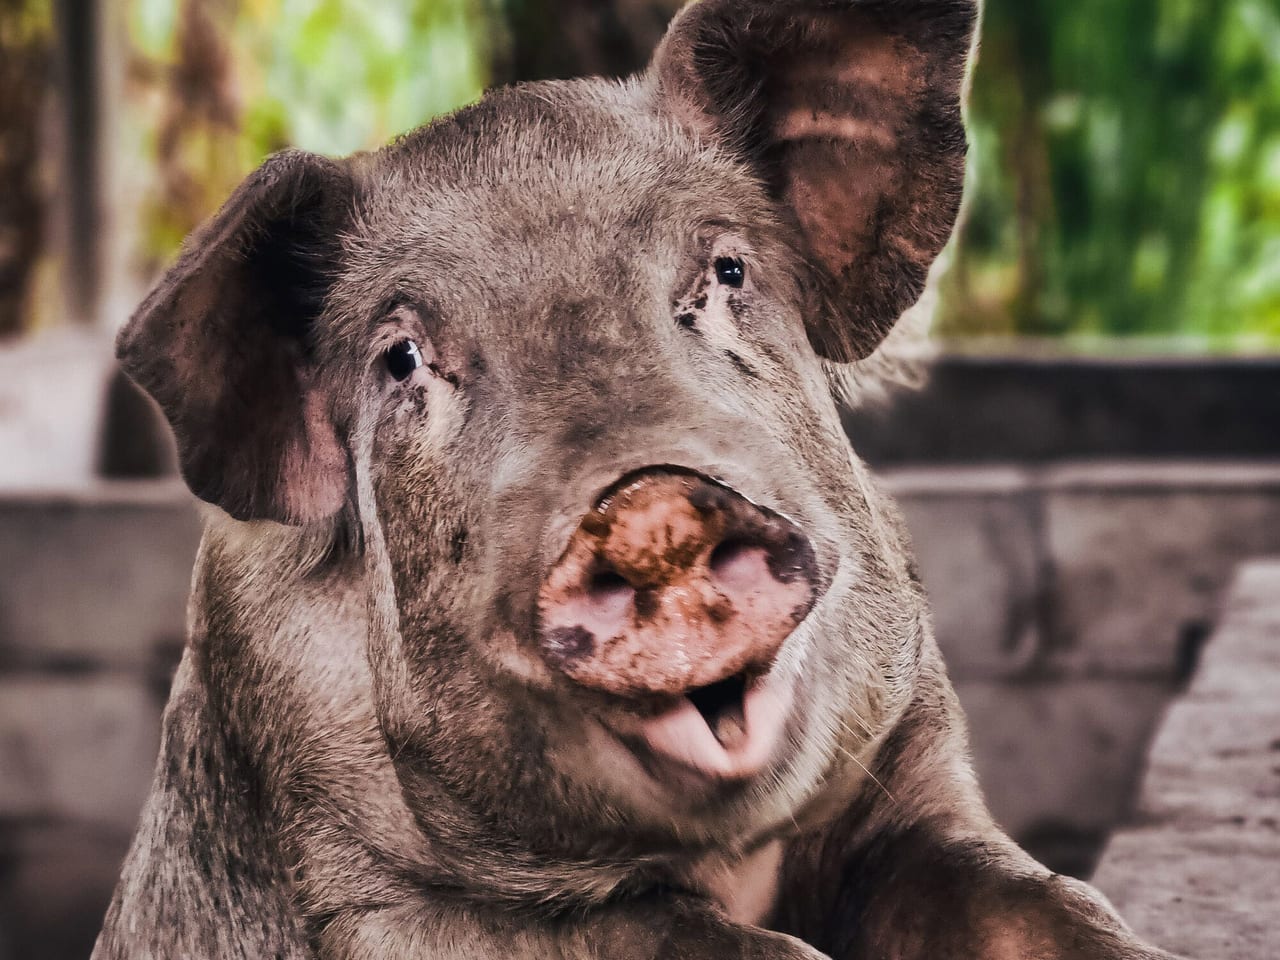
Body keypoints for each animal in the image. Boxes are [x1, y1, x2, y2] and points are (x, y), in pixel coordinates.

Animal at [94, 1, 1187, 958]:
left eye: (727, 273)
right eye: (400, 360)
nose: (649, 505)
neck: (730, 857)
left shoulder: (909, 755)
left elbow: (1038, 899)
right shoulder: (373, 885)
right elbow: (692, 940)